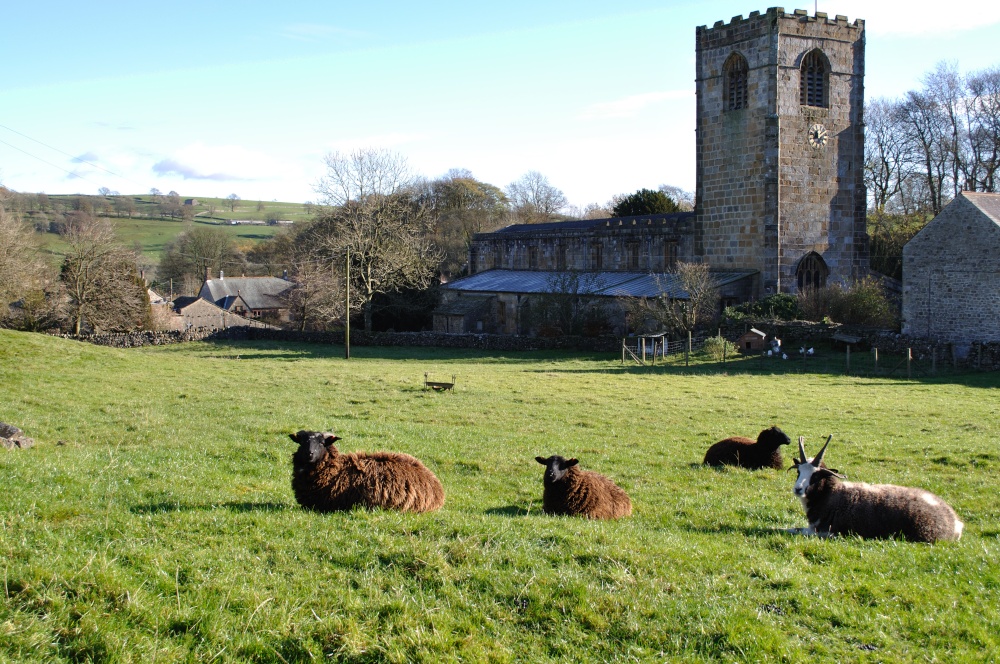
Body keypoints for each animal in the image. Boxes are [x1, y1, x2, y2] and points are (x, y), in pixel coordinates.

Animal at [792, 438, 964, 544]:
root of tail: (955, 522)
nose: (797, 489)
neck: (830, 495)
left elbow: (795, 530)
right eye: (798, 472)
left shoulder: (828, 532)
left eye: (816, 475)